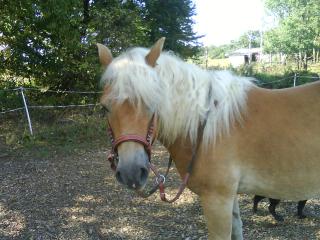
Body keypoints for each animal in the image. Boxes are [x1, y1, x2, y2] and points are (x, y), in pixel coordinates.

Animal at [96, 38, 320, 239]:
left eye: (153, 103)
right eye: (104, 107)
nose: (131, 173)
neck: (204, 127)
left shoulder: (217, 201)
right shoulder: (230, 197)